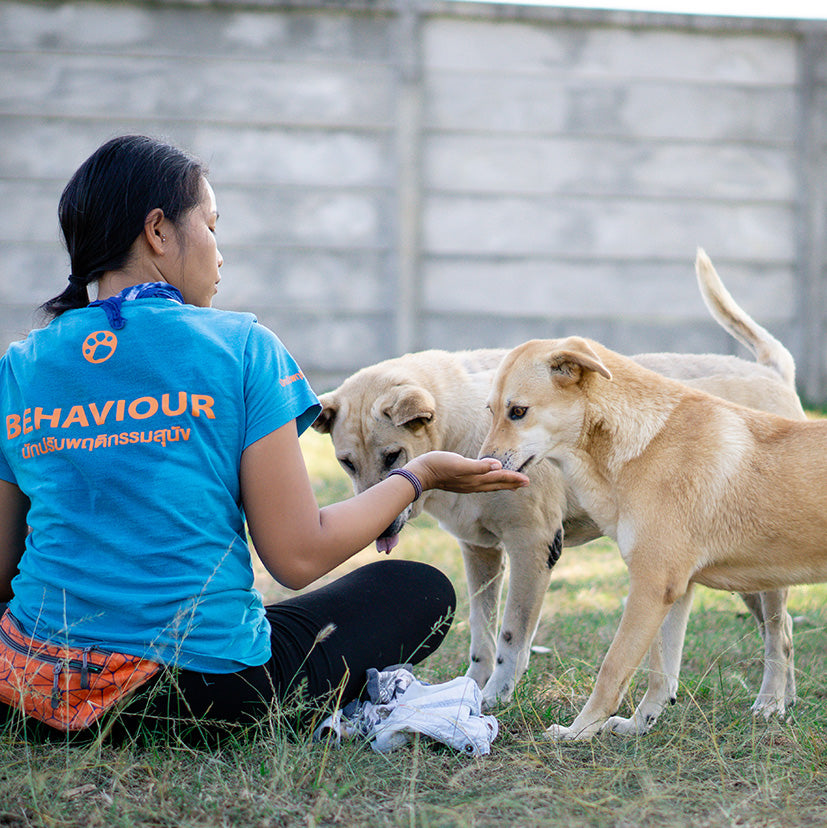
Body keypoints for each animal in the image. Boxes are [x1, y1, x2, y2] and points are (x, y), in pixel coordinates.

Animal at [316, 251, 804, 712]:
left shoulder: (532, 546)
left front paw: (496, 696)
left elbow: (511, 637)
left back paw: (769, 702)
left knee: (778, 632)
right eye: (346, 463)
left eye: (393, 456)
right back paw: (786, 700)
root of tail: (773, 373)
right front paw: (469, 691)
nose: (379, 528)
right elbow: (481, 635)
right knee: (782, 632)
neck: (461, 419)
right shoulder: (480, 553)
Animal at [482, 249, 824, 740]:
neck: (640, 439)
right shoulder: (676, 590)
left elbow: (614, 668)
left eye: (518, 411)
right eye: (490, 411)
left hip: (770, 582)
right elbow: (662, 671)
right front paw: (640, 724)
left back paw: (771, 703)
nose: (483, 464)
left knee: (779, 638)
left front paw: (579, 732)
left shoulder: (650, 585)